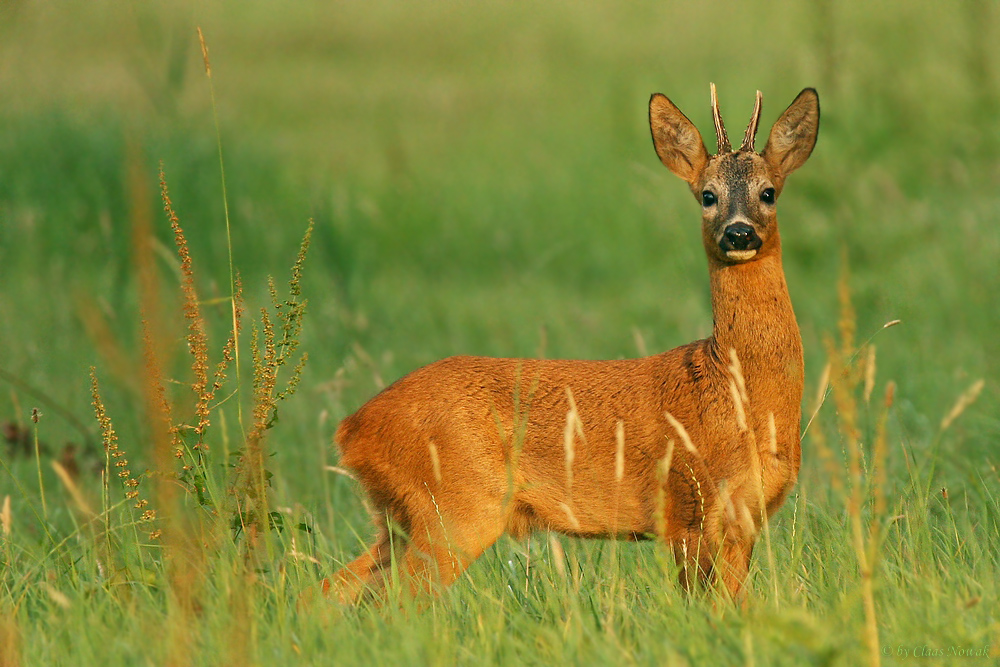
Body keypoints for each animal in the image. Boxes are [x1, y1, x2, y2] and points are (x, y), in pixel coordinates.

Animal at [332, 85, 816, 604]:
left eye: (768, 192)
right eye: (708, 196)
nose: (739, 232)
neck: (737, 390)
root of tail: (352, 428)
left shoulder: (744, 520)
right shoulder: (688, 507)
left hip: (401, 519)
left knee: (328, 590)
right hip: (453, 509)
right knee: (397, 601)